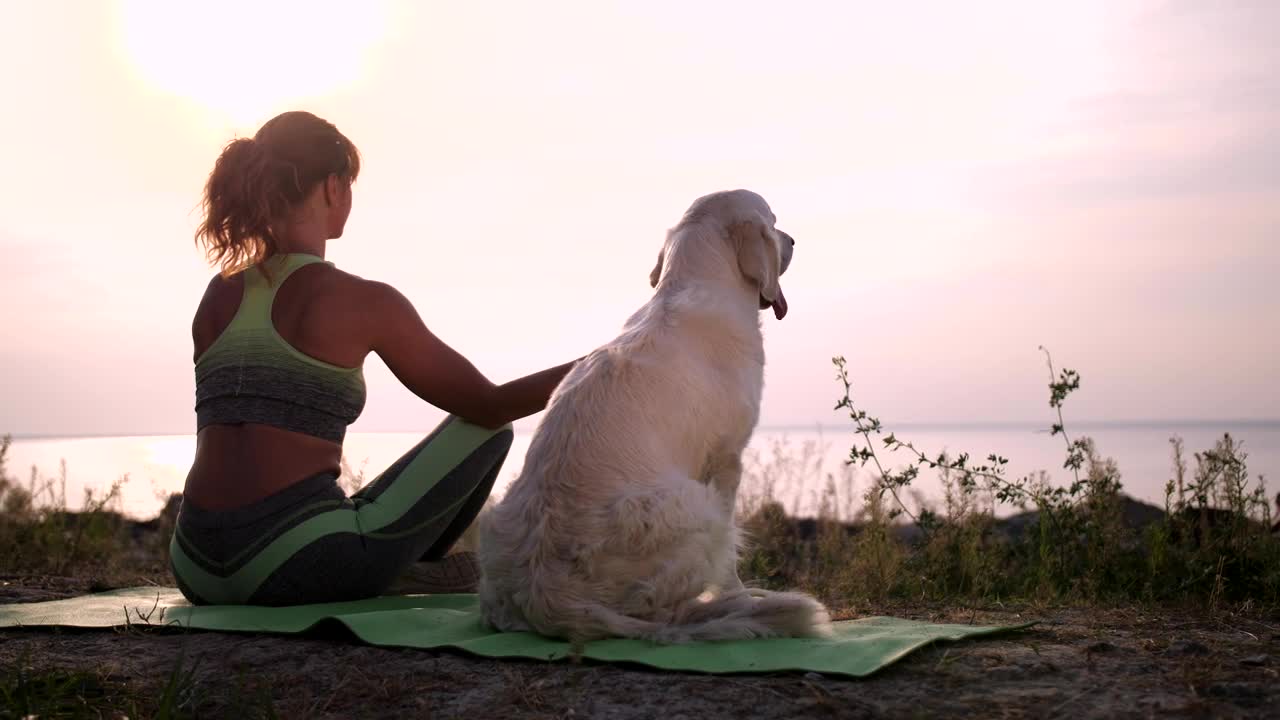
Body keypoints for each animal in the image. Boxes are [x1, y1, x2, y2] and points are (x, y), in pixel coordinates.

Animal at [478, 189, 829, 638]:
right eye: (773, 221)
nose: (793, 241)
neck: (697, 278)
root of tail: (546, 596)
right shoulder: (727, 459)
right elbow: (731, 555)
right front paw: (737, 592)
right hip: (698, 507)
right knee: (659, 608)